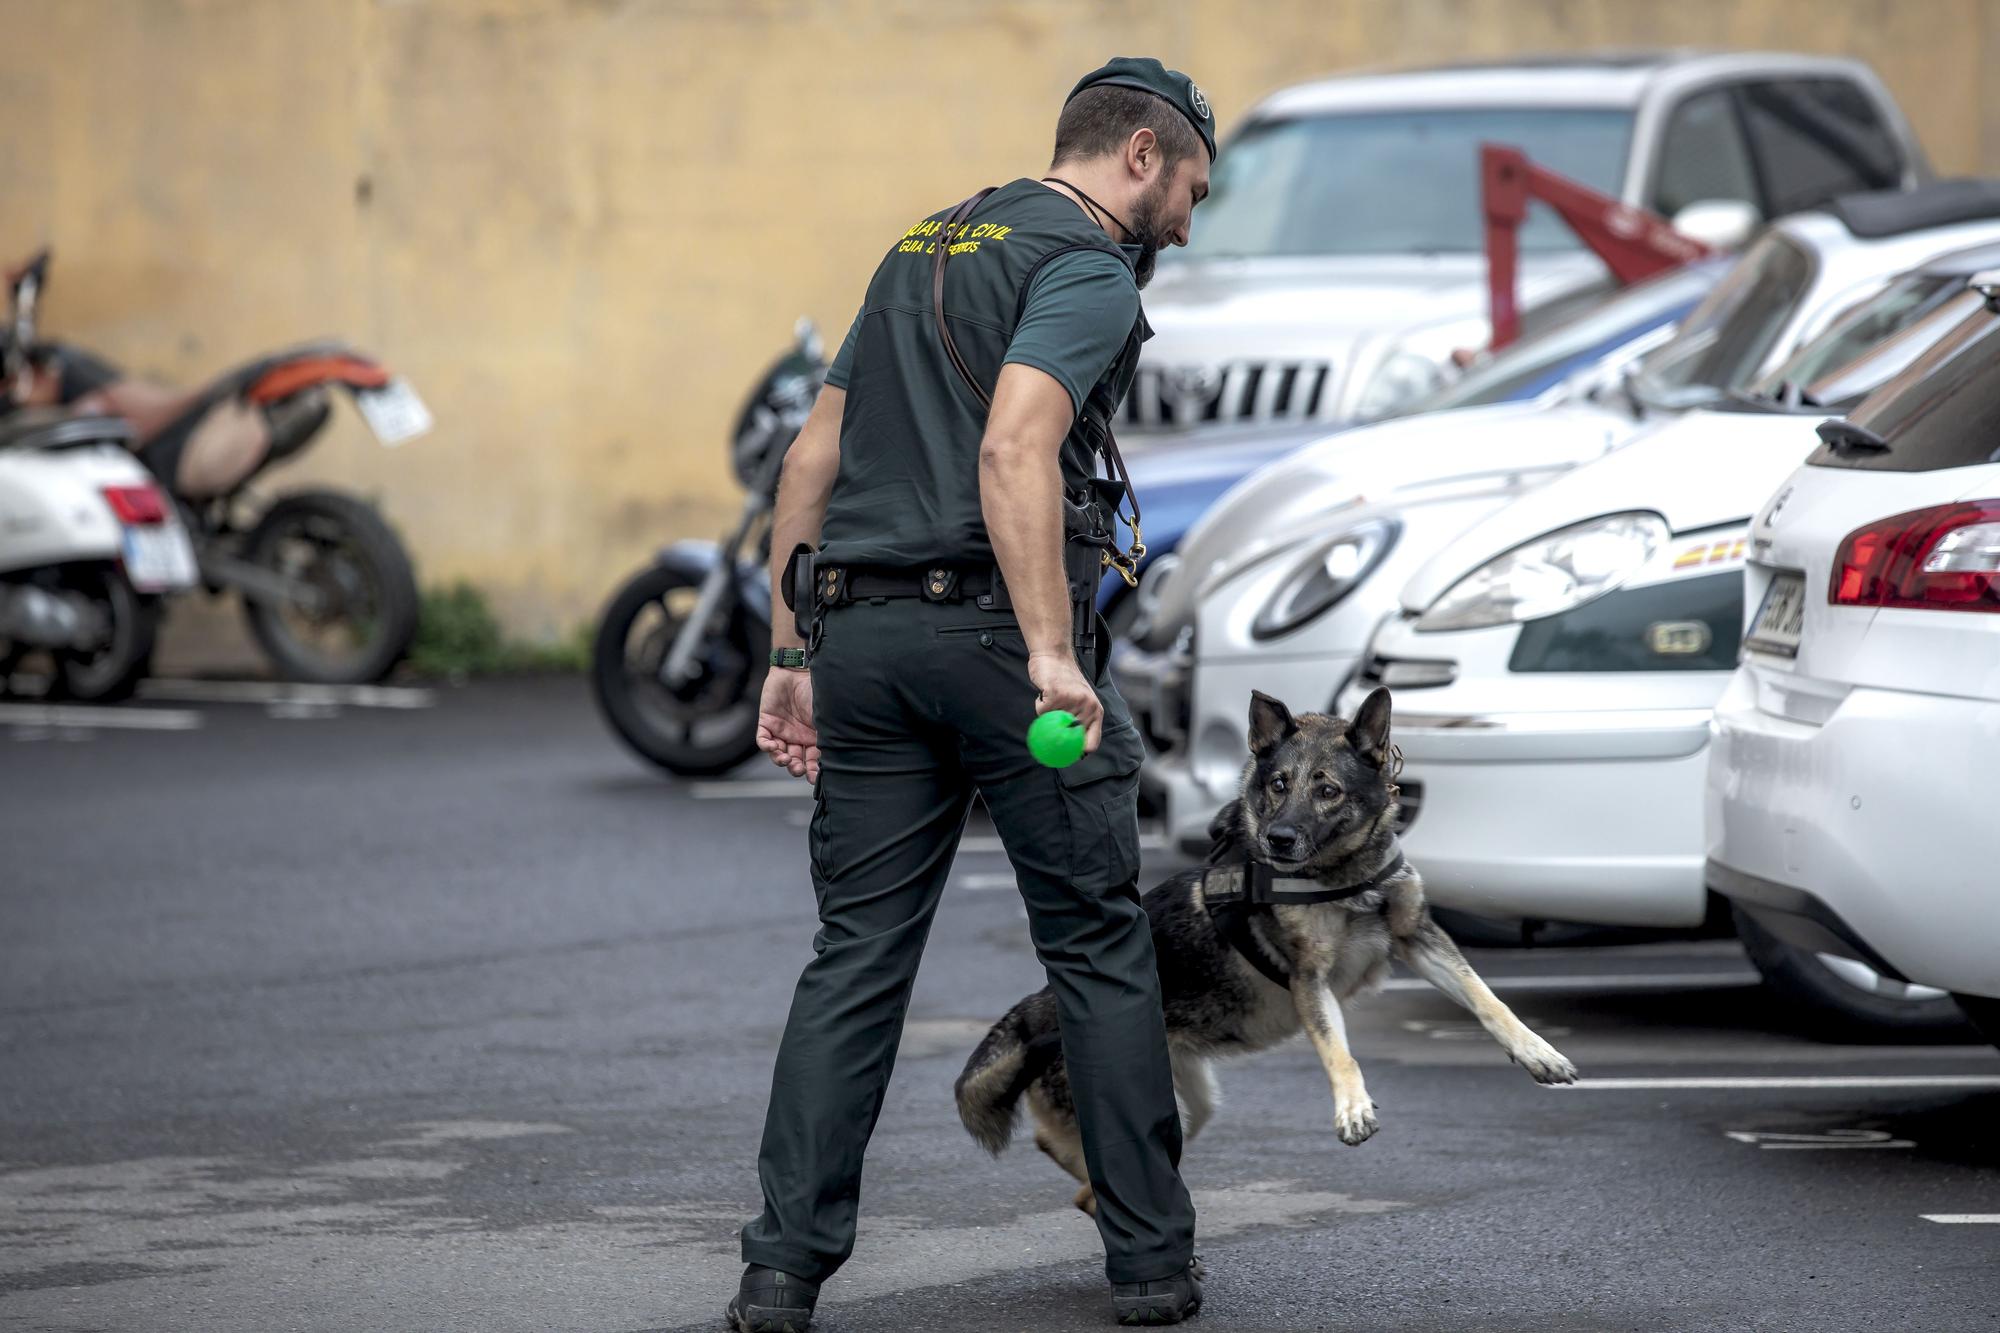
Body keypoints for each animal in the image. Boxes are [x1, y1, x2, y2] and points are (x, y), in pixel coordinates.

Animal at [952, 680, 1576, 1208]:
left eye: (1328, 791)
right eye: (1279, 785)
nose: (1279, 838)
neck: (1343, 875)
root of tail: (1032, 1014)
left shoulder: (1418, 938)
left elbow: (1487, 999)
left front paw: (1536, 1051)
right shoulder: (1310, 981)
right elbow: (1339, 1050)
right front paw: (1352, 1108)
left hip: (1192, 1106)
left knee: (1091, 1181)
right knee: (1082, 1172)